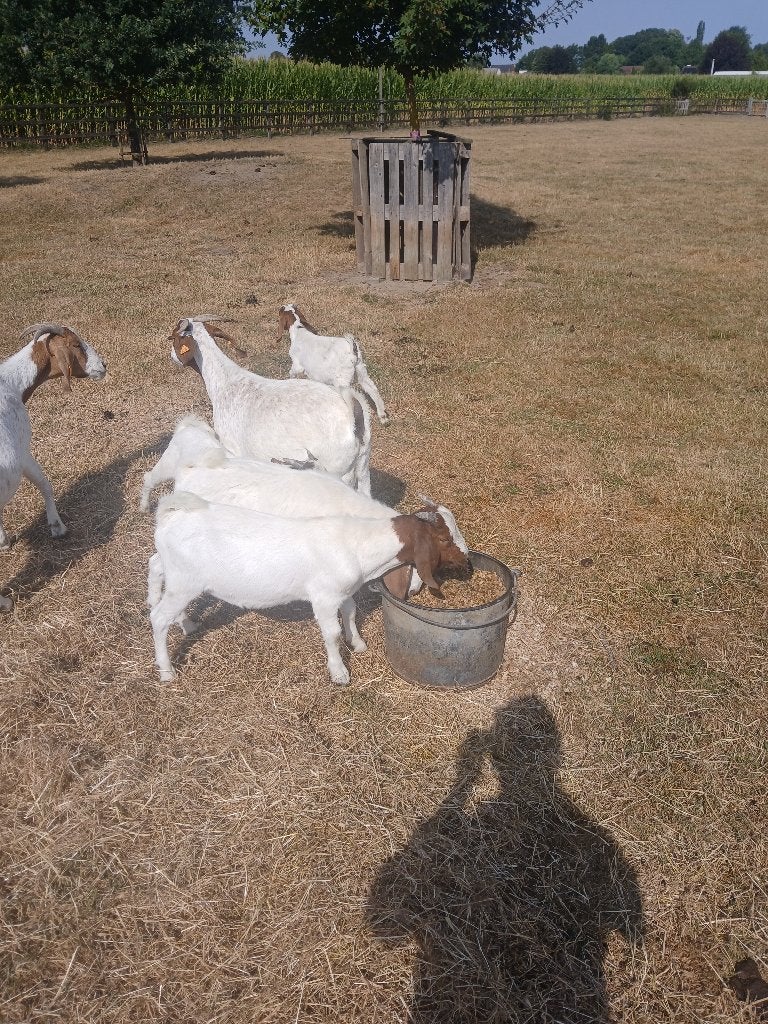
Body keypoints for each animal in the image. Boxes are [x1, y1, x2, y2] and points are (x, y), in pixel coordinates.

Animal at [0, 324, 107, 610]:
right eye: (77, 344)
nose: (103, 366)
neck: (10, 385)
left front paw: (3, 540)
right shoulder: (23, 451)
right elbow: (45, 484)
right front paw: (57, 527)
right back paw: (5, 603)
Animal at [148, 491, 470, 685]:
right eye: (444, 539)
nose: (466, 560)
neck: (357, 544)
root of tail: (171, 514)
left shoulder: (344, 591)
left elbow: (351, 611)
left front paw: (358, 643)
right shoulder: (323, 597)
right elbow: (332, 632)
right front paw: (339, 673)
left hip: (176, 575)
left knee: (155, 569)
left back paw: (183, 621)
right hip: (185, 580)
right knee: (159, 618)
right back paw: (166, 670)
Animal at [169, 316, 372, 495]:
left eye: (173, 337)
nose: (172, 357)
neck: (226, 383)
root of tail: (351, 417)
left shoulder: (232, 449)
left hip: (338, 469)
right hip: (363, 464)